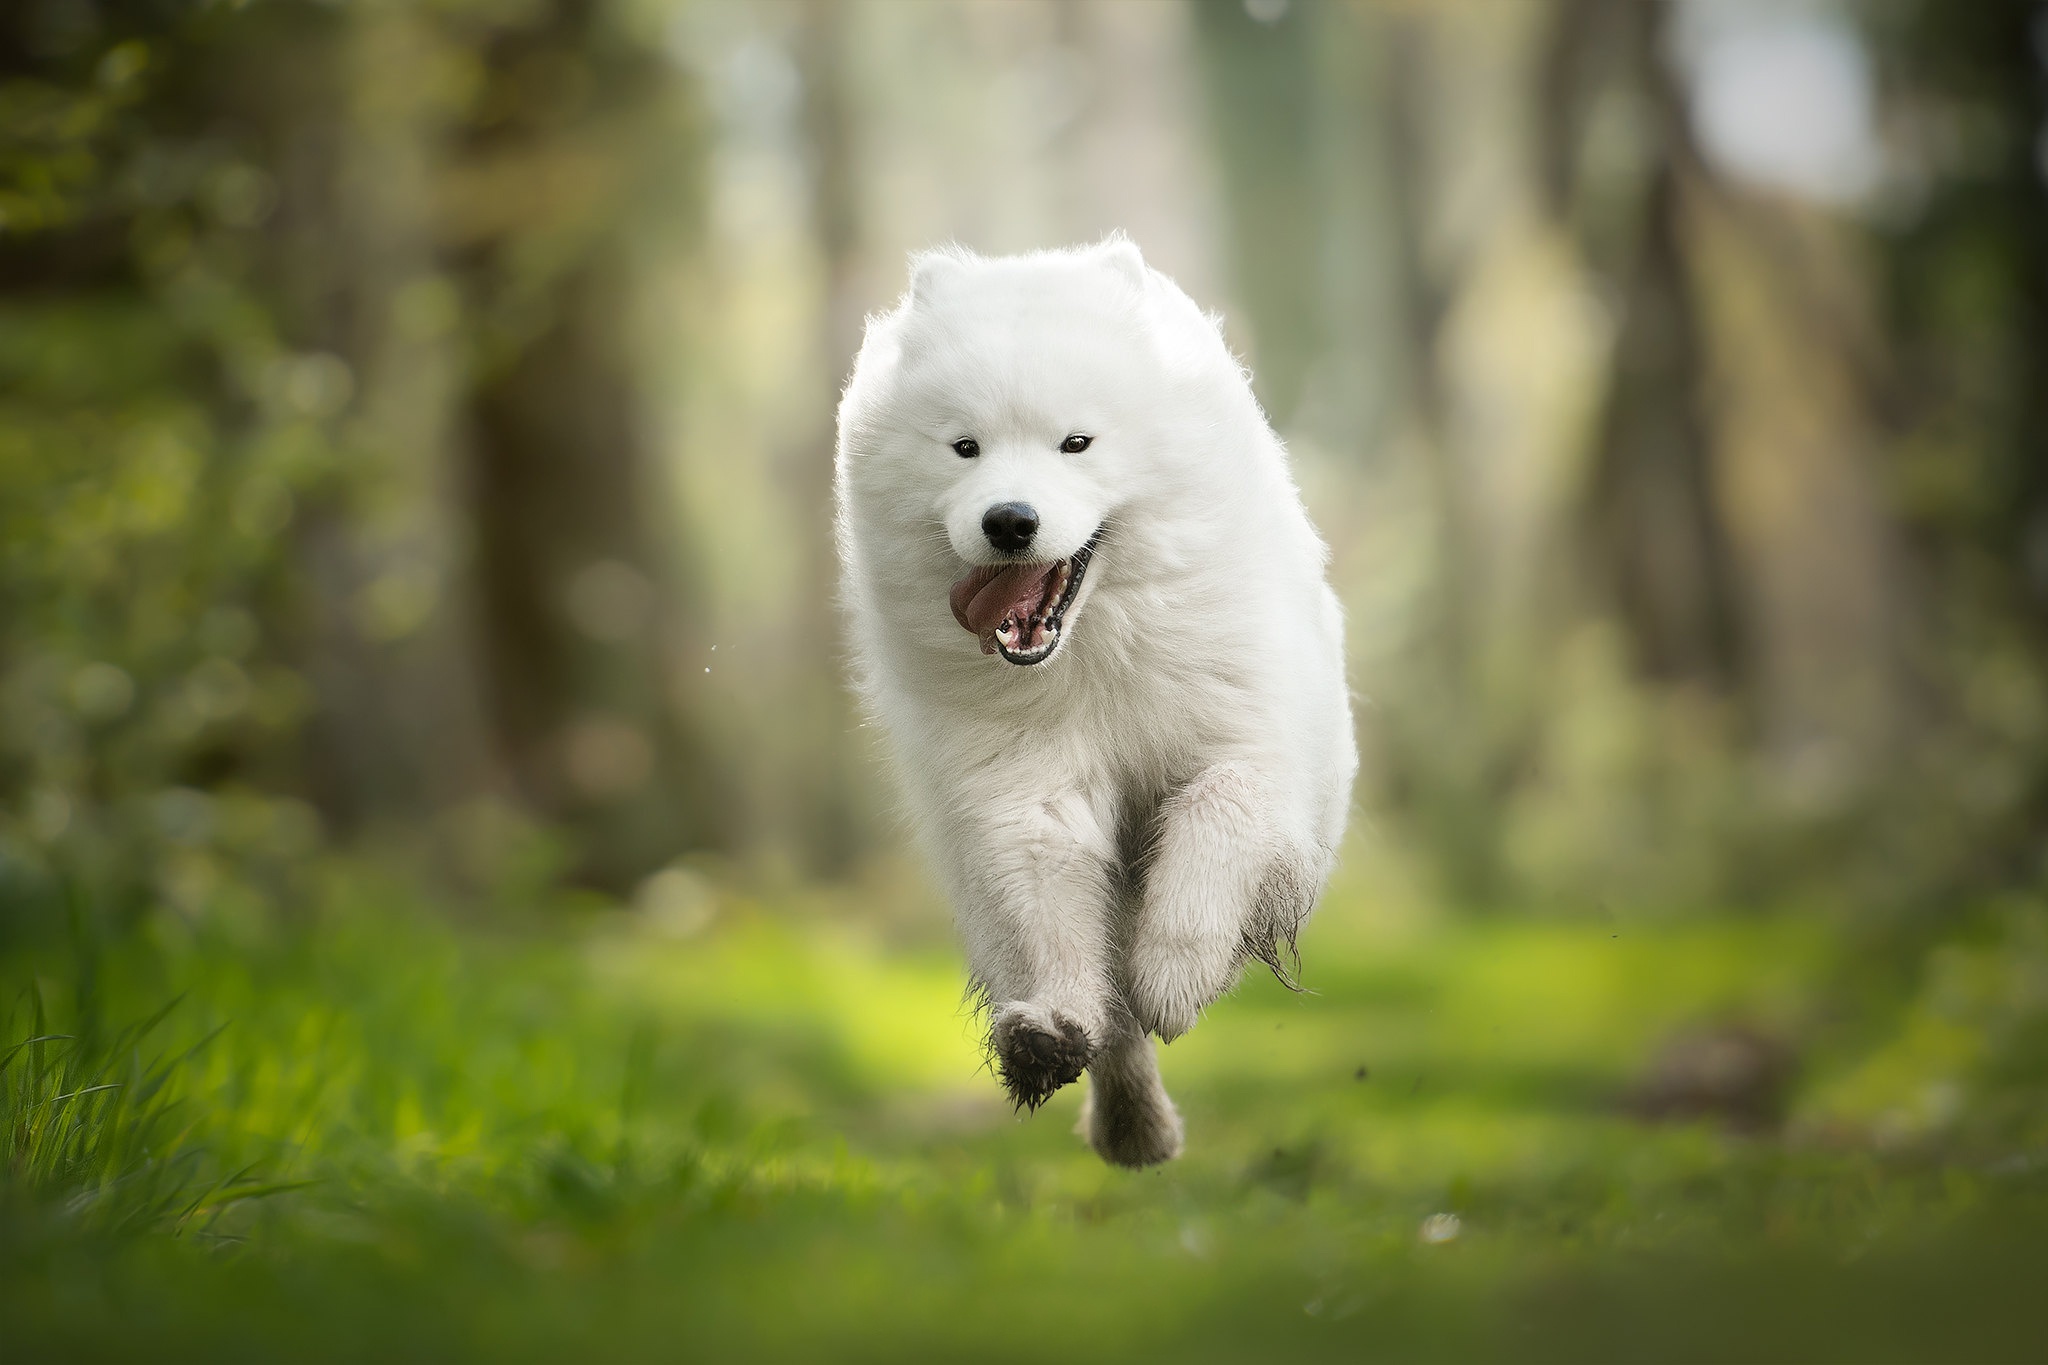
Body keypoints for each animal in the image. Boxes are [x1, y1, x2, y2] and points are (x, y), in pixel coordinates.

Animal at [831, 235, 1359, 1162]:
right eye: (964, 447)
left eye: (1075, 443)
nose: (1010, 521)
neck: (1094, 655)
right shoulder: (1022, 792)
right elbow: (1058, 933)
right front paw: (1052, 1028)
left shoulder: (1254, 748)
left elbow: (1216, 816)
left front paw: (1176, 973)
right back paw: (1129, 1123)